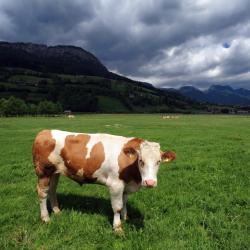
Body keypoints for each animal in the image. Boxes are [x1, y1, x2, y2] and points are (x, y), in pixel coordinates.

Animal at [32, 130, 176, 233]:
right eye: (141, 161)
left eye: (158, 162)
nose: (150, 182)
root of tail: (44, 132)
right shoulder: (115, 185)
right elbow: (117, 206)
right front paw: (118, 228)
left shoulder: (126, 185)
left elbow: (124, 202)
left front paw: (125, 218)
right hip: (44, 172)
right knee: (42, 193)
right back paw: (46, 218)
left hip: (55, 172)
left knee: (52, 190)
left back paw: (57, 211)